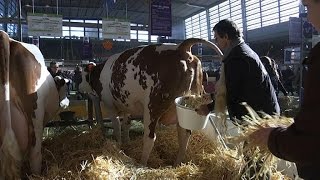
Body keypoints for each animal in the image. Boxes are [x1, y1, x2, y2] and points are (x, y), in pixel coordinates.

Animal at [79, 38, 222, 166]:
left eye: (81, 75)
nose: (80, 89)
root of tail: (181, 48)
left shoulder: (110, 105)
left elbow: (117, 127)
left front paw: (118, 145)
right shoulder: (128, 106)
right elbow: (126, 124)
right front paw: (126, 142)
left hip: (152, 107)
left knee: (150, 138)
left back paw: (142, 164)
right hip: (183, 108)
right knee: (184, 135)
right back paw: (177, 164)